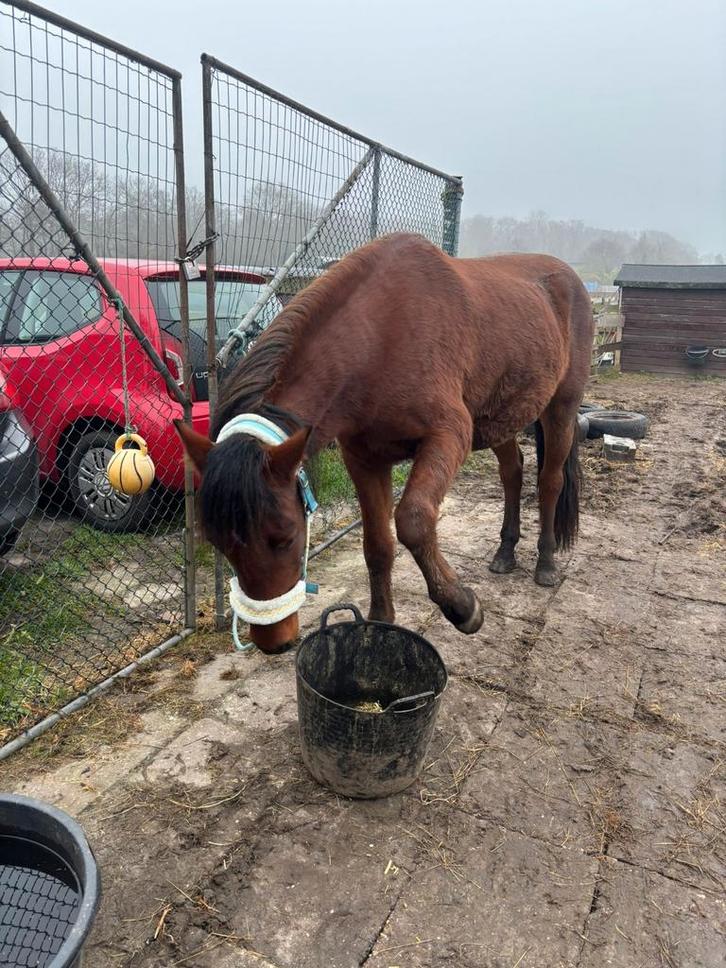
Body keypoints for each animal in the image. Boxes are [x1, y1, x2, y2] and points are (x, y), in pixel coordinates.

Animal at [175, 232, 594, 653]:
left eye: (286, 537)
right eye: (219, 543)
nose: (273, 642)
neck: (378, 338)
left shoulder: (448, 435)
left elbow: (412, 521)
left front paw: (461, 606)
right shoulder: (364, 459)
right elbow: (377, 545)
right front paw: (379, 622)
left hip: (560, 408)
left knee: (550, 481)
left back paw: (545, 562)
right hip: (499, 419)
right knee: (512, 472)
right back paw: (505, 551)